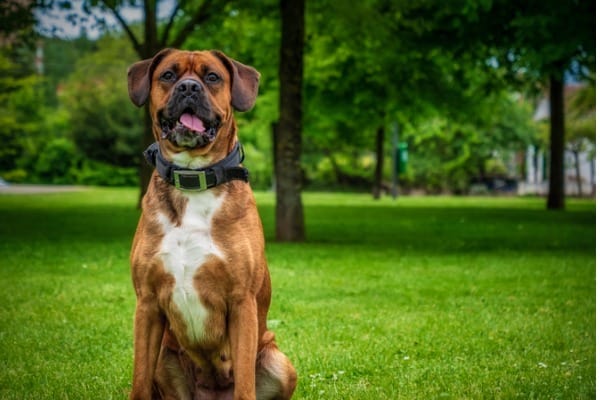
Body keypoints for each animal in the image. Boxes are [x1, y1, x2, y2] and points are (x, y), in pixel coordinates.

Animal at [127, 47, 298, 400]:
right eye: (168, 75)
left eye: (212, 77)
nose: (189, 87)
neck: (193, 178)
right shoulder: (147, 304)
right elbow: (139, 383)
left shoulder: (242, 303)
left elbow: (245, 386)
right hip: (166, 354)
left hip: (279, 362)